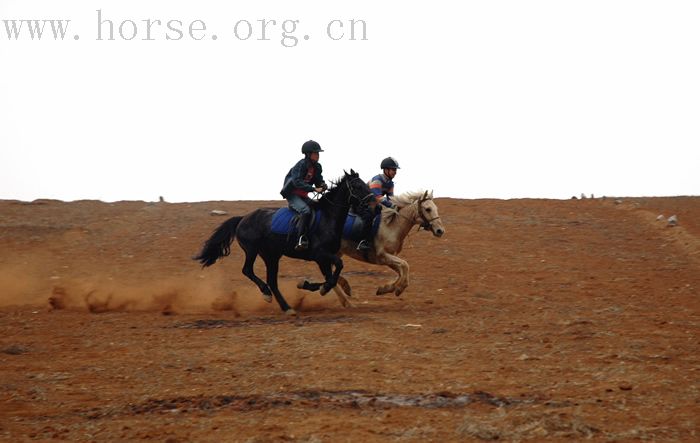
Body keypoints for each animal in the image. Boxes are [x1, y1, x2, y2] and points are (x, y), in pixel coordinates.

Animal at [194, 171, 374, 316]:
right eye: (357, 186)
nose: (374, 204)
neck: (327, 219)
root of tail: (243, 218)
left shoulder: (323, 259)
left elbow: (332, 278)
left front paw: (312, 285)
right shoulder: (320, 255)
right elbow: (337, 268)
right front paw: (316, 286)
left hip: (271, 256)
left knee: (272, 281)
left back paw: (286, 307)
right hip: (252, 251)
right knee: (248, 271)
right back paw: (268, 294)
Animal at [300, 189, 442, 304]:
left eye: (436, 208)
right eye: (428, 209)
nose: (440, 230)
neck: (392, 225)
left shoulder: (388, 259)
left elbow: (402, 272)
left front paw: (386, 289)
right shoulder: (382, 256)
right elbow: (405, 266)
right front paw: (397, 289)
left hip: (336, 252)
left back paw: (345, 288)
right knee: (329, 274)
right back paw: (345, 299)